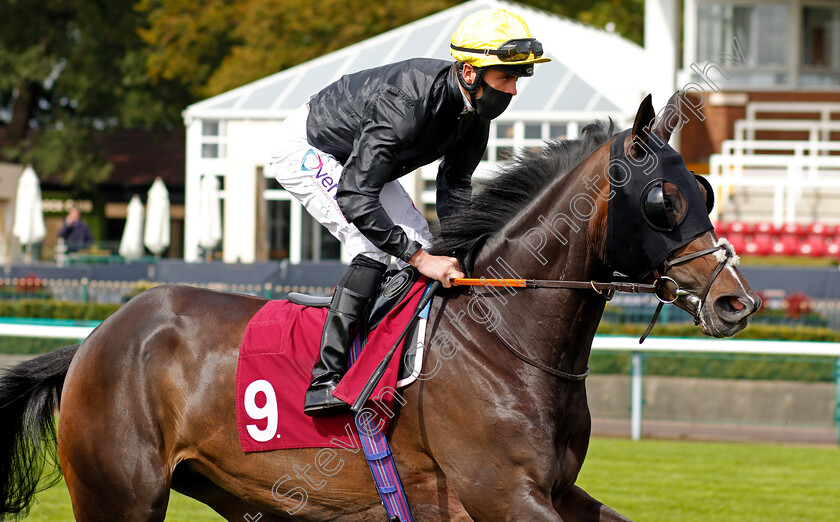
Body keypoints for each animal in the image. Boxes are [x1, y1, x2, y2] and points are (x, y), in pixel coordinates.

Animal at [0, 94, 760, 520]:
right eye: (663, 200)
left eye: (705, 188)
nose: (736, 301)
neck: (505, 341)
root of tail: (94, 340)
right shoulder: (501, 493)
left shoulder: (557, 491)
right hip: (119, 495)